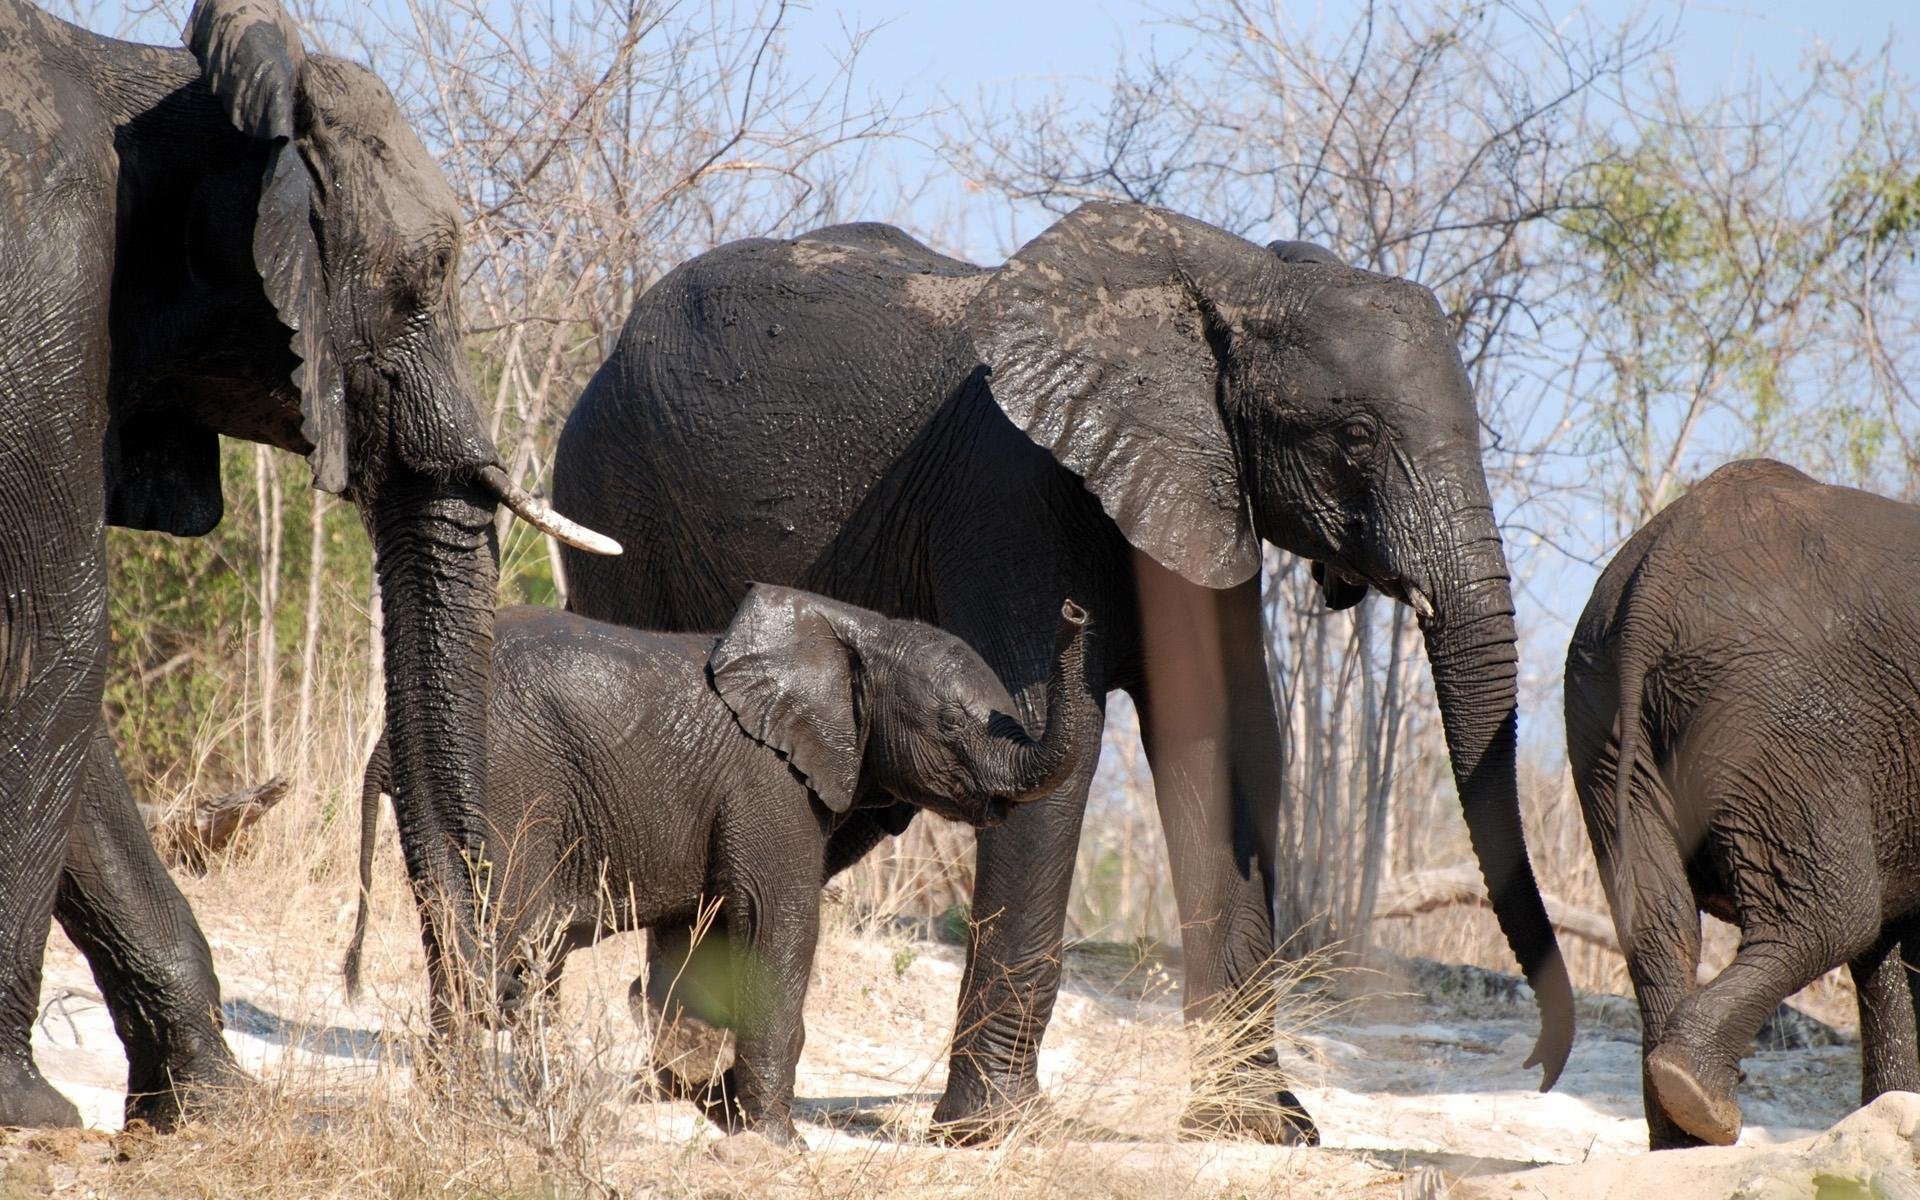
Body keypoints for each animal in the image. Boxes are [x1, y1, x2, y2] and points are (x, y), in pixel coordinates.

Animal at [0, 0, 613, 1127]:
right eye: (424, 282)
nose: (473, 1061)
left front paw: (209, 1108)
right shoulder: (40, 277)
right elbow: (50, 625)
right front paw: (30, 1112)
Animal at [343, 590, 1091, 1144]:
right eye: (949, 724)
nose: (1074, 611)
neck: (860, 631)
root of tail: (385, 737)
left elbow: (699, 932)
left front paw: (699, 1097)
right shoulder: (768, 780)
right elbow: (777, 917)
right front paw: (776, 1143)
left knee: (465, 949)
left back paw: (460, 1108)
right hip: (509, 787)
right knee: (507, 946)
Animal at [552, 205, 1574, 1144]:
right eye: (1356, 436)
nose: (1540, 1067)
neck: (1231, 280)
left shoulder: (1204, 492)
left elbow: (1228, 744)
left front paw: (1260, 1130)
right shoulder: (1016, 489)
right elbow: (1049, 744)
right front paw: (992, 1133)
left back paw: (683, 1075)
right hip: (613, 497)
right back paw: (682, 1080)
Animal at [1565, 458, 1920, 1149]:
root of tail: (1657, 572)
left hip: (1602, 715)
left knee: (1659, 924)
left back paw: (1679, 1135)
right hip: (1780, 718)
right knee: (1836, 916)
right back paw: (1699, 1098)